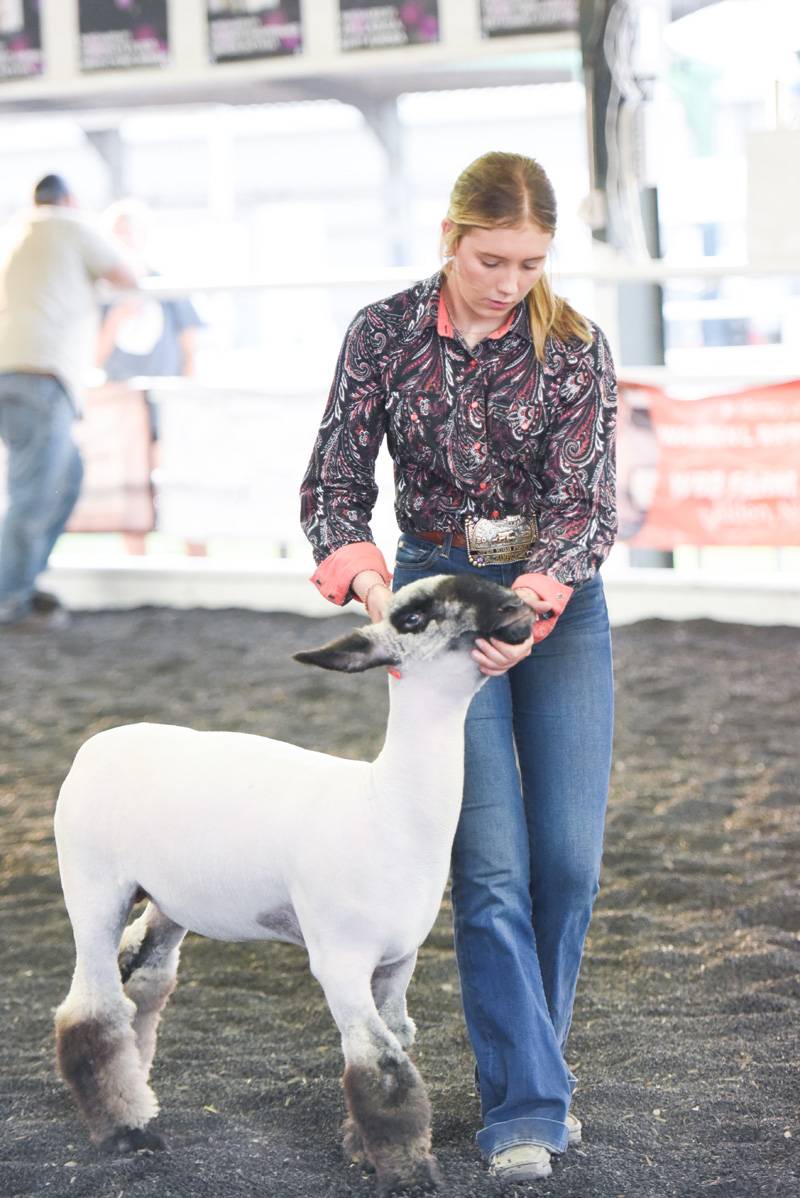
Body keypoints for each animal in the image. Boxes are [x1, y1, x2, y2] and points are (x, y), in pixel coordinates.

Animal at [52, 575, 534, 1193]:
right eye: (413, 617)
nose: (517, 608)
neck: (388, 809)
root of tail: (96, 744)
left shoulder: (399, 958)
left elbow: (392, 1041)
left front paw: (363, 1149)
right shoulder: (339, 959)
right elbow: (383, 1069)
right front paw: (409, 1175)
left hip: (171, 899)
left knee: (143, 982)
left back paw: (138, 1101)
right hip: (92, 885)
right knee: (92, 1010)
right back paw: (127, 1132)